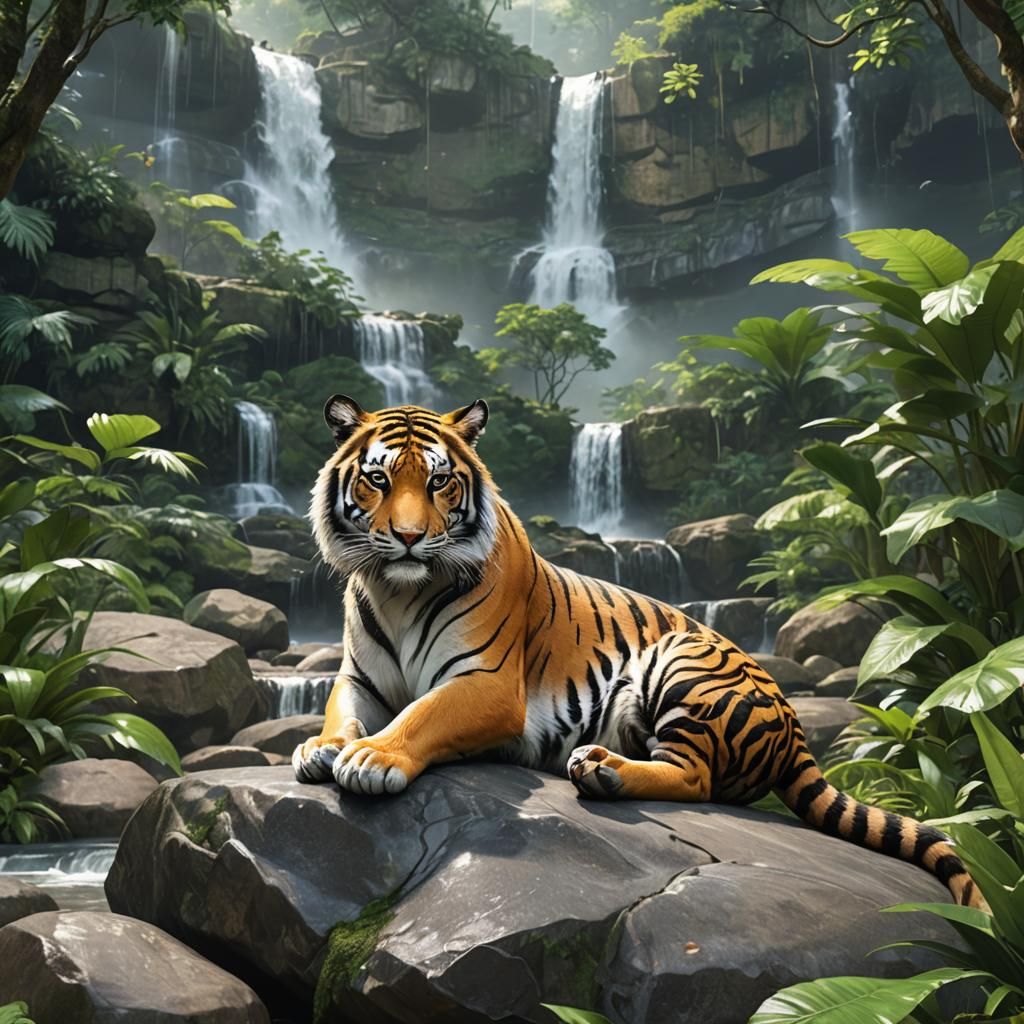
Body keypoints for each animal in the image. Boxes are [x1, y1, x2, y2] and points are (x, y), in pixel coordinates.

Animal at [292, 394, 984, 910]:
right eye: (378, 479)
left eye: (439, 482)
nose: (409, 539)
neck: (399, 590)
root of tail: (795, 727)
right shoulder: (359, 678)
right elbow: (340, 711)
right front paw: (319, 748)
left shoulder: (486, 681)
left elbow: (422, 714)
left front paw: (373, 757)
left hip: (682, 659)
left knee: (695, 777)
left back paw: (604, 771)